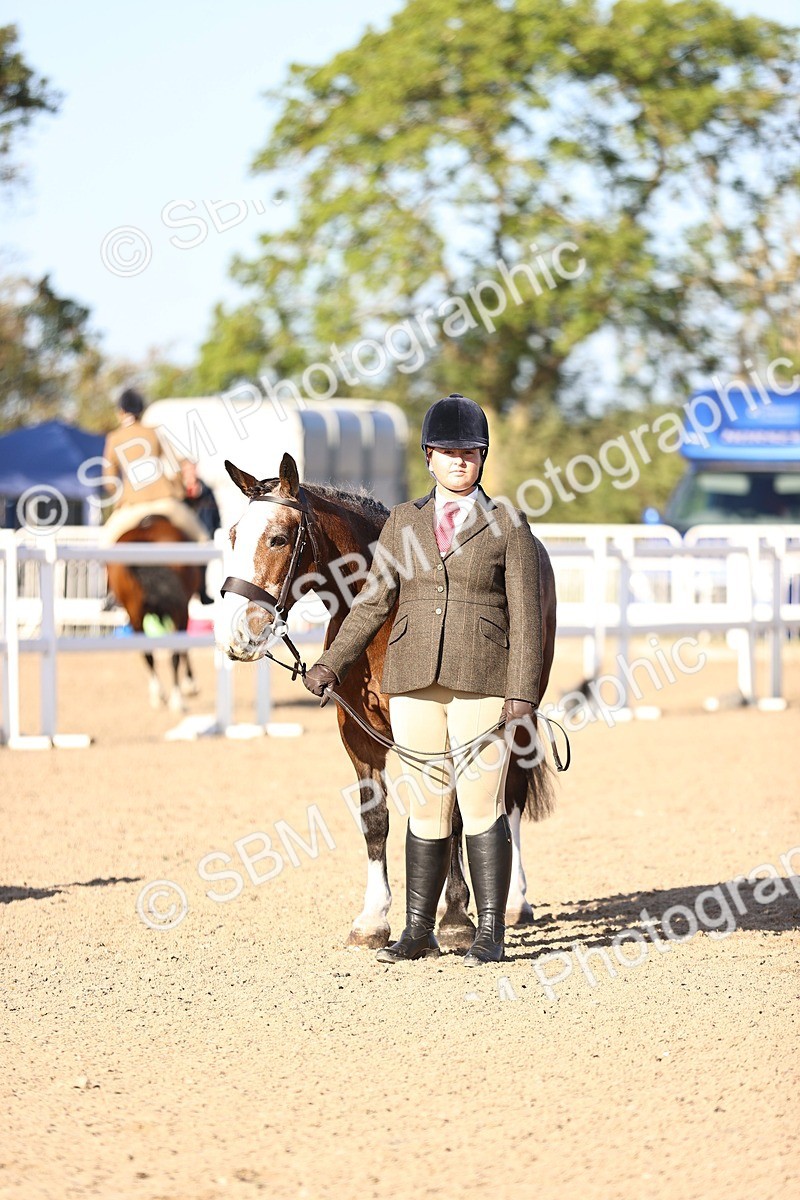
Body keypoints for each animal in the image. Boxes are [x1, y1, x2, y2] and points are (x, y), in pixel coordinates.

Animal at [107, 515, 202, 711]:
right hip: (178, 610)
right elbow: (183, 649)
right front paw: (190, 684)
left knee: (148, 654)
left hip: (134, 613)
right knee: (174, 653)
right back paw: (177, 699)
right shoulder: (182, 610)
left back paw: (159, 694)